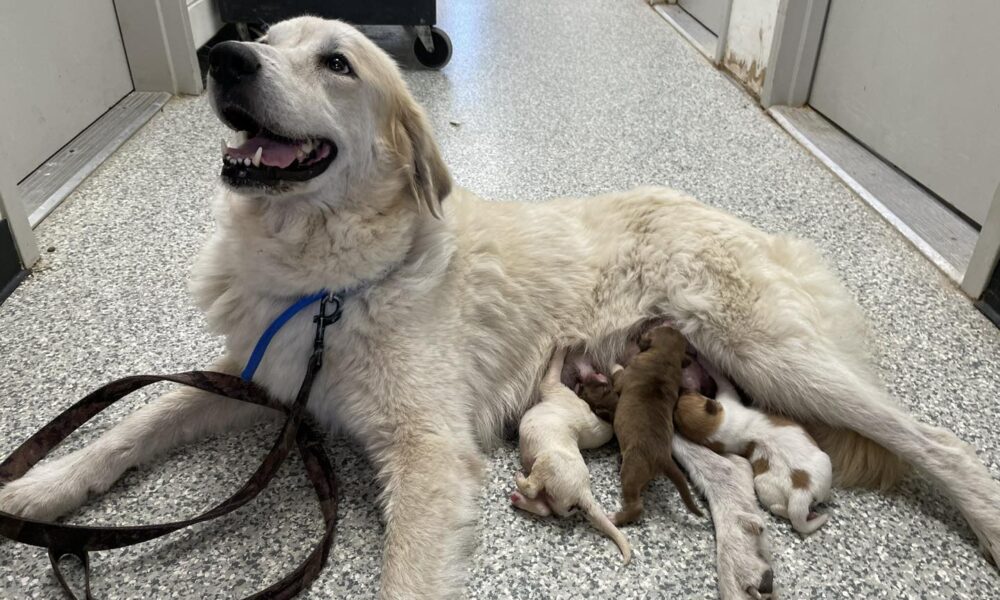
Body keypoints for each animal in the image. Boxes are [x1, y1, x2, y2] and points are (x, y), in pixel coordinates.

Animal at [512, 346, 628, 564]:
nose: (594, 366)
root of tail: (583, 493)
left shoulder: (552, 385)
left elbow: (554, 367)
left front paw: (562, 347)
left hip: (546, 465)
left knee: (532, 488)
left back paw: (520, 481)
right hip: (555, 499)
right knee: (544, 508)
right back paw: (518, 499)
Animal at [580, 326, 704, 524]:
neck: (665, 356)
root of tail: (663, 457)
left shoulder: (623, 377)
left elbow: (617, 371)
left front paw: (613, 361)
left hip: (631, 471)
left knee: (636, 506)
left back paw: (615, 517)